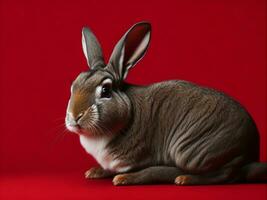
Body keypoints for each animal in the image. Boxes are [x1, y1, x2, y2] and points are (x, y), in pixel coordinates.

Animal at [65, 21, 267, 186]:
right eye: (74, 86)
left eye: (106, 90)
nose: (75, 116)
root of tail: (250, 152)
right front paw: (94, 172)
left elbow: (143, 170)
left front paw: (123, 178)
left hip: (189, 151)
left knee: (226, 175)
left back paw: (185, 179)